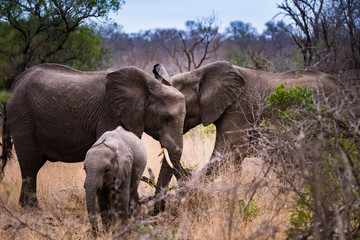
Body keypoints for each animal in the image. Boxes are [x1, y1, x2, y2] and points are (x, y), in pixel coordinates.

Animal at [2, 62, 188, 207]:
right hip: (22, 116)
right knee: (30, 163)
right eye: (166, 119)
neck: (148, 86)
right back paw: (32, 210)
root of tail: (16, 82)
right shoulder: (110, 114)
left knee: (33, 166)